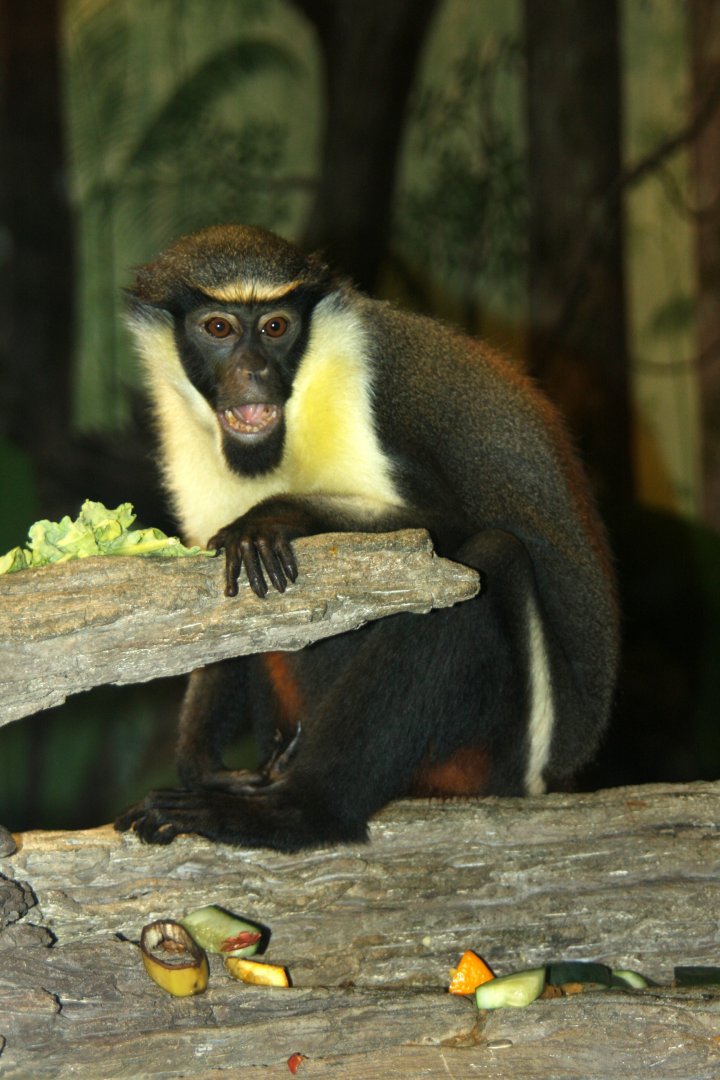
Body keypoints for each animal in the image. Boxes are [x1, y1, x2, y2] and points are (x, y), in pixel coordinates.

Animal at [115, 223, 618, 852]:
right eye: (219, 329)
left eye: (275, 327)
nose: (253, 371)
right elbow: (214, 607)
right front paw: (200, 764)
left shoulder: (362, 391)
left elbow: (442, 526)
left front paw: (274, 516)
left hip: (503, 748)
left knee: (487, 564)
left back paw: (297, 813)